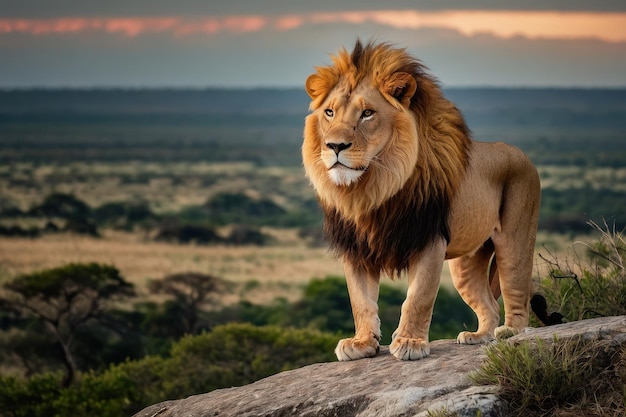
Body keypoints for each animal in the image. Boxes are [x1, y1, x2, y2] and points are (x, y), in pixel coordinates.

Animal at [300, 41, 540, 360]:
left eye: (367, 113)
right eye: (329, 112)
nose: (335, 146)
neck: (370, 189)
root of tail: (521, 154)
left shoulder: (429, 239)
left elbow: (419, 297)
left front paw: (410, 342)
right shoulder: (356, 248)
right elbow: (360, 301)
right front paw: (363, 343)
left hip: (515, 240)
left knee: (518, 294)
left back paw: (510, 334)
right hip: (466, 263)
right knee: (489, 303)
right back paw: (479, 336)